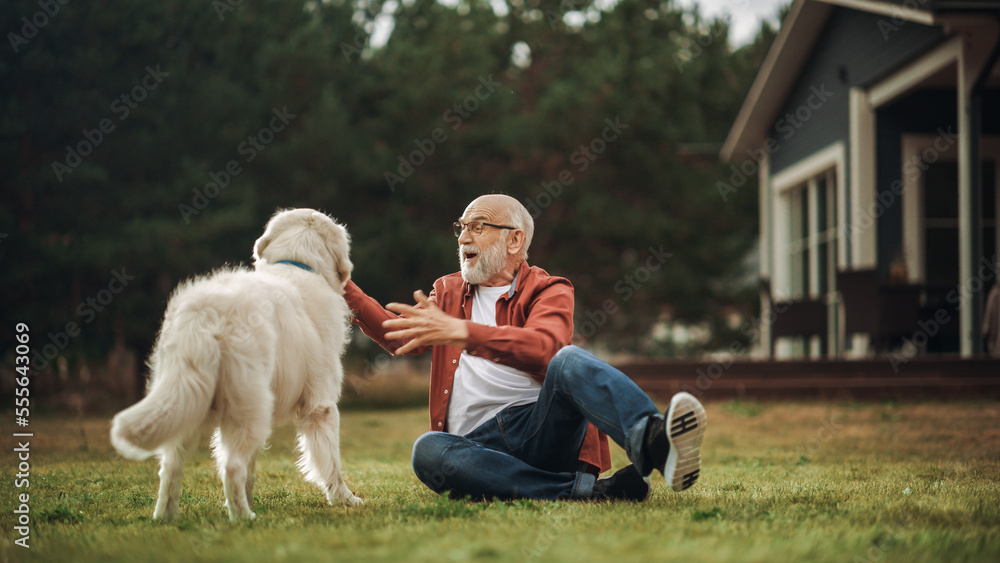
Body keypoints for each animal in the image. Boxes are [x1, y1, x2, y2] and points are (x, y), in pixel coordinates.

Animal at [111, 209, 362, 524]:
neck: (298, 263)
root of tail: (205, 313)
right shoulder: (321, 405)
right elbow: (331, 460)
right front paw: (344, 499)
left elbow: (250, 470)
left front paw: (248, 498)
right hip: (249, 407)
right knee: (230, 466)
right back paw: (244, 518)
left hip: (187, 401)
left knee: (171, 466)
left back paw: (166, 517)